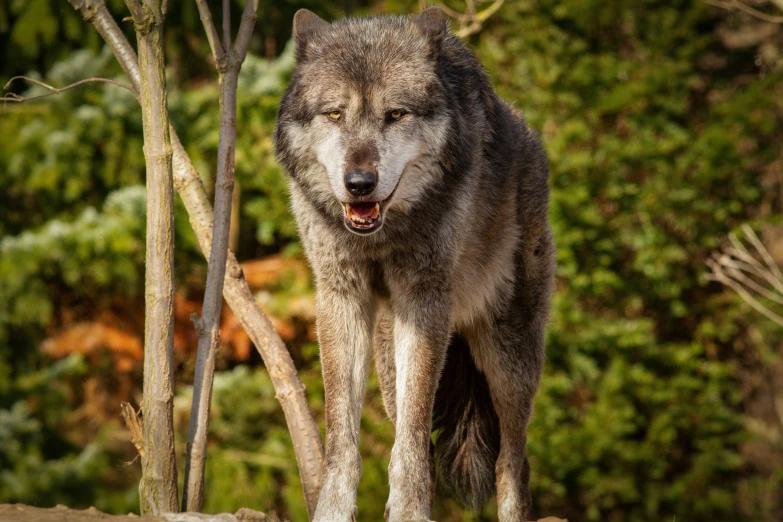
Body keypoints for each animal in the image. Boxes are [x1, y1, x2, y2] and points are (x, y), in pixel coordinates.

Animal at [276, 8, 556, 520]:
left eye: (395, 115)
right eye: (335, 114)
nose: (359, 183)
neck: (380, 237)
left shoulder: (425, 301)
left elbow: (410, 438)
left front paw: (409, 511)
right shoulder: (340, 298)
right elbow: (344, 436)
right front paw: (335, 509)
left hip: (508, 362)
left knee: (512, 462)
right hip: (390, 365)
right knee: (421, 440)